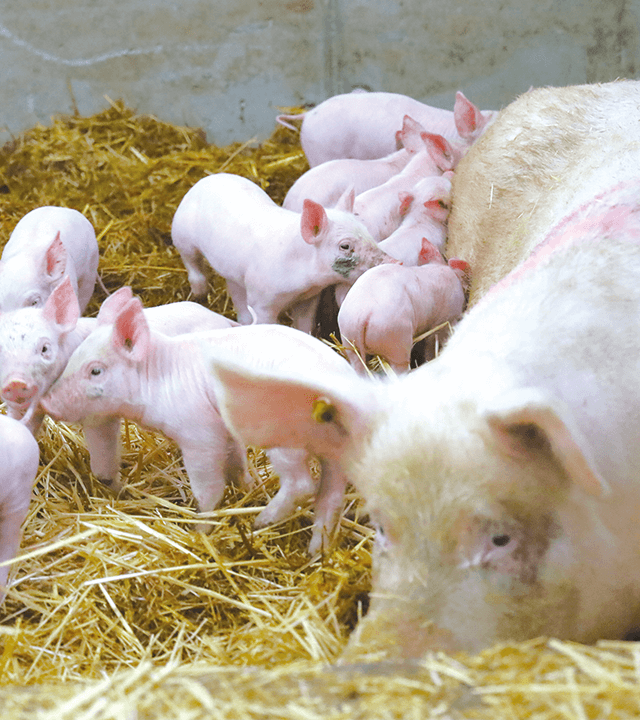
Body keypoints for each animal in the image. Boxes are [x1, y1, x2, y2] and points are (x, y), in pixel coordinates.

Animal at [170, 173, 396, 328]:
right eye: (345, 246)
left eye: (366, 232)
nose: (396, 262)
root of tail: (205, 180)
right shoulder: (261, 301)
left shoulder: (309, 298)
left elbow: (305, 324)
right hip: (181, 235)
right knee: (191, 262)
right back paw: (200, 292)